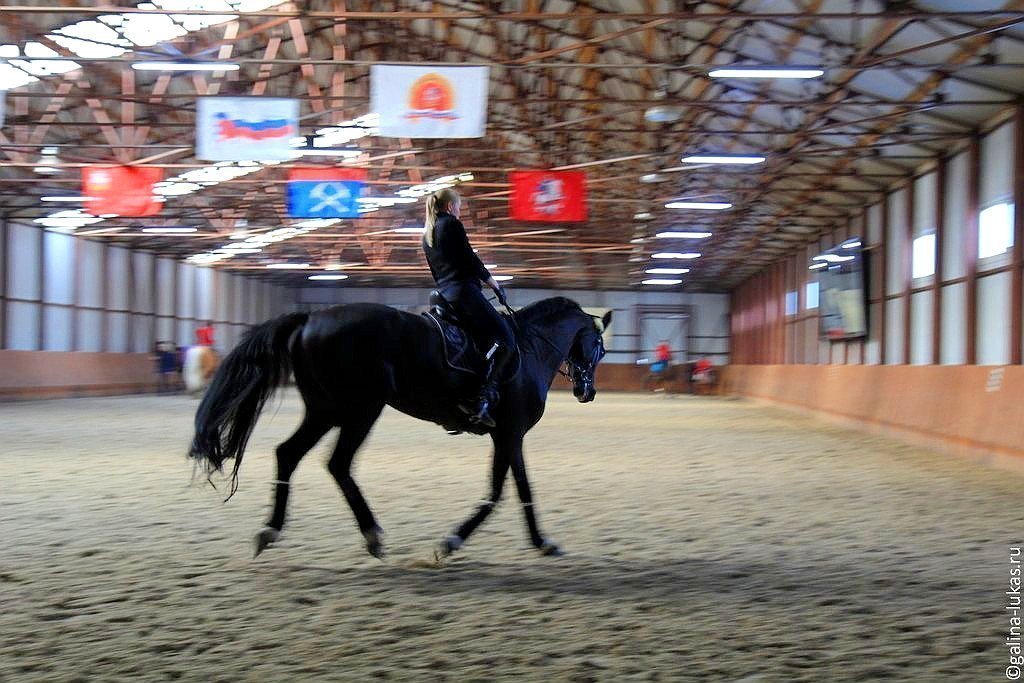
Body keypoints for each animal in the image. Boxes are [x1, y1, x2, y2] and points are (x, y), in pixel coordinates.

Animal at [190, 296, 606, 557]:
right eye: (599, 346)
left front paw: (470, 540)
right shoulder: (511, 433)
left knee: (289, 455)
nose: (587, 392)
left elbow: (506, 488)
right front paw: (461, 542)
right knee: (337, 463)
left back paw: (272, 530)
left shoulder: (504, 436)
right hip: (359, 409)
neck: (529, 350)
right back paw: (371, 534)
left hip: (326, 410)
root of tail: (310, 318)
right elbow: (513, 489)